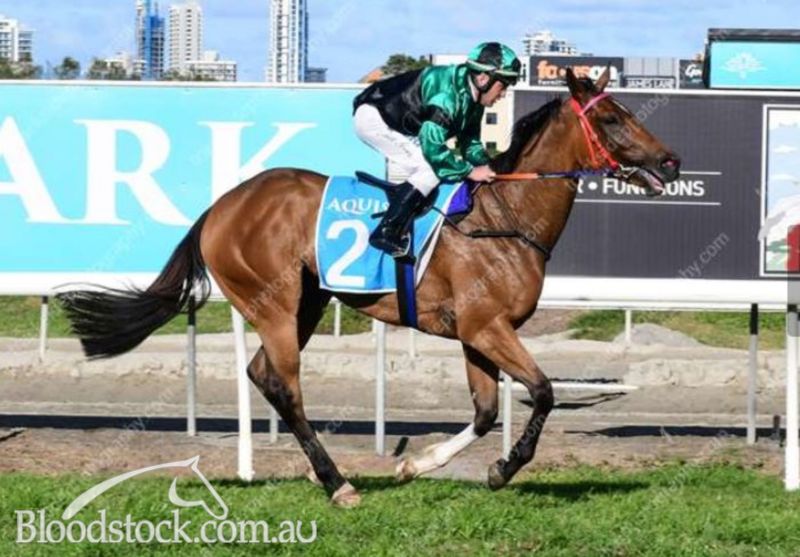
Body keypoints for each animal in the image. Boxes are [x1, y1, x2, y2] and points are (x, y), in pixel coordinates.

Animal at [58, 68, 680, 507]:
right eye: (613, 119)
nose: (671, 161)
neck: (504, 216)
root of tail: (220, 206)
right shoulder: (486, 326)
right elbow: (545, 392)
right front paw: (503, 469)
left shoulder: (476, 333)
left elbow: (485, 411)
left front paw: (417, 464)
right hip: (276, 304)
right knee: (285, 386)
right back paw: (337, 483)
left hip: (307, 303)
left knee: (262, 375)